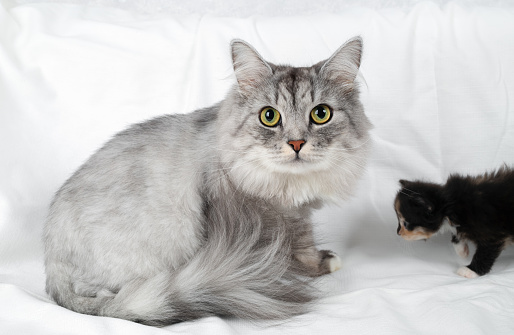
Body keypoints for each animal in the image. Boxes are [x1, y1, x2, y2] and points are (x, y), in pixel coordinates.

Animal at [44, 37, 370, 328]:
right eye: (269, 117)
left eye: (321, 114)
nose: (297, 143)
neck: (288, 184)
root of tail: (51, 260)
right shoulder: (259, 214)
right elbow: (293, 247)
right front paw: (310, 268)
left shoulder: (295, 213)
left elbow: (303, 238)